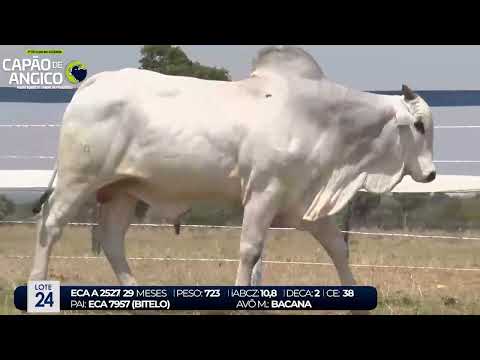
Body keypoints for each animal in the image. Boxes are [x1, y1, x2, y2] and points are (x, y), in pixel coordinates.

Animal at [29, 47, 436, 290]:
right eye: (419, 125)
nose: (431, 174)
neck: (321, 120)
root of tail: (93, 84)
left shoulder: (303, 205)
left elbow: (338, 249)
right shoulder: (262, 193)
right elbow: (250, 251)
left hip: (122, 190)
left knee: (112, 240)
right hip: (77, 181)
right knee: (50, 227)